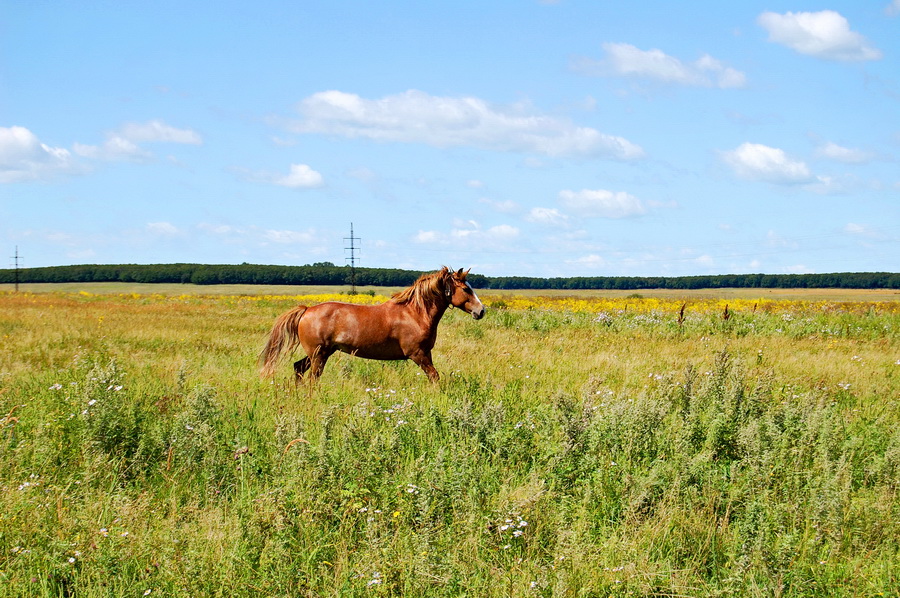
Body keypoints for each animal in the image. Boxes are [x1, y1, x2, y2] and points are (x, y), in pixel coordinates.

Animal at [260, 268, 486, 384]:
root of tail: (306, 310)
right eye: (466, 289)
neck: (415, 313)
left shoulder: (426, 353)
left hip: (322, 353)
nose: (481, 310)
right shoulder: (417, 354)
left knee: (298, 368)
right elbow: (434, 377)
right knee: (312, 379)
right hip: (319, 354)